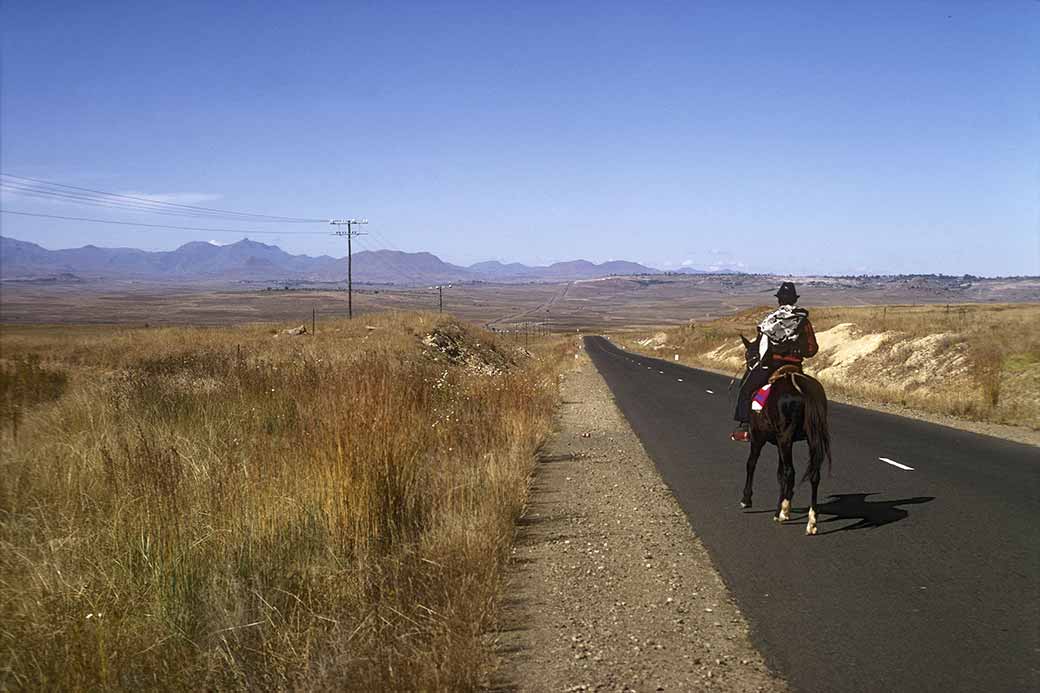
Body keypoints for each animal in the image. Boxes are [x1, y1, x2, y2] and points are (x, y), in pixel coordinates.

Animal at [736, 330, 832, 532]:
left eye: (750, 356)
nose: (748, 370)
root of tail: (802, 388)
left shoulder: (758, 437)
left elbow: (752, 463)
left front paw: (746, 499)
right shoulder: (781, 443)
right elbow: (779, 475)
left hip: (784, 438)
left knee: (790, 472)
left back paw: (782, 512)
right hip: (810, 438)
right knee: (813, 474)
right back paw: (811, 520)